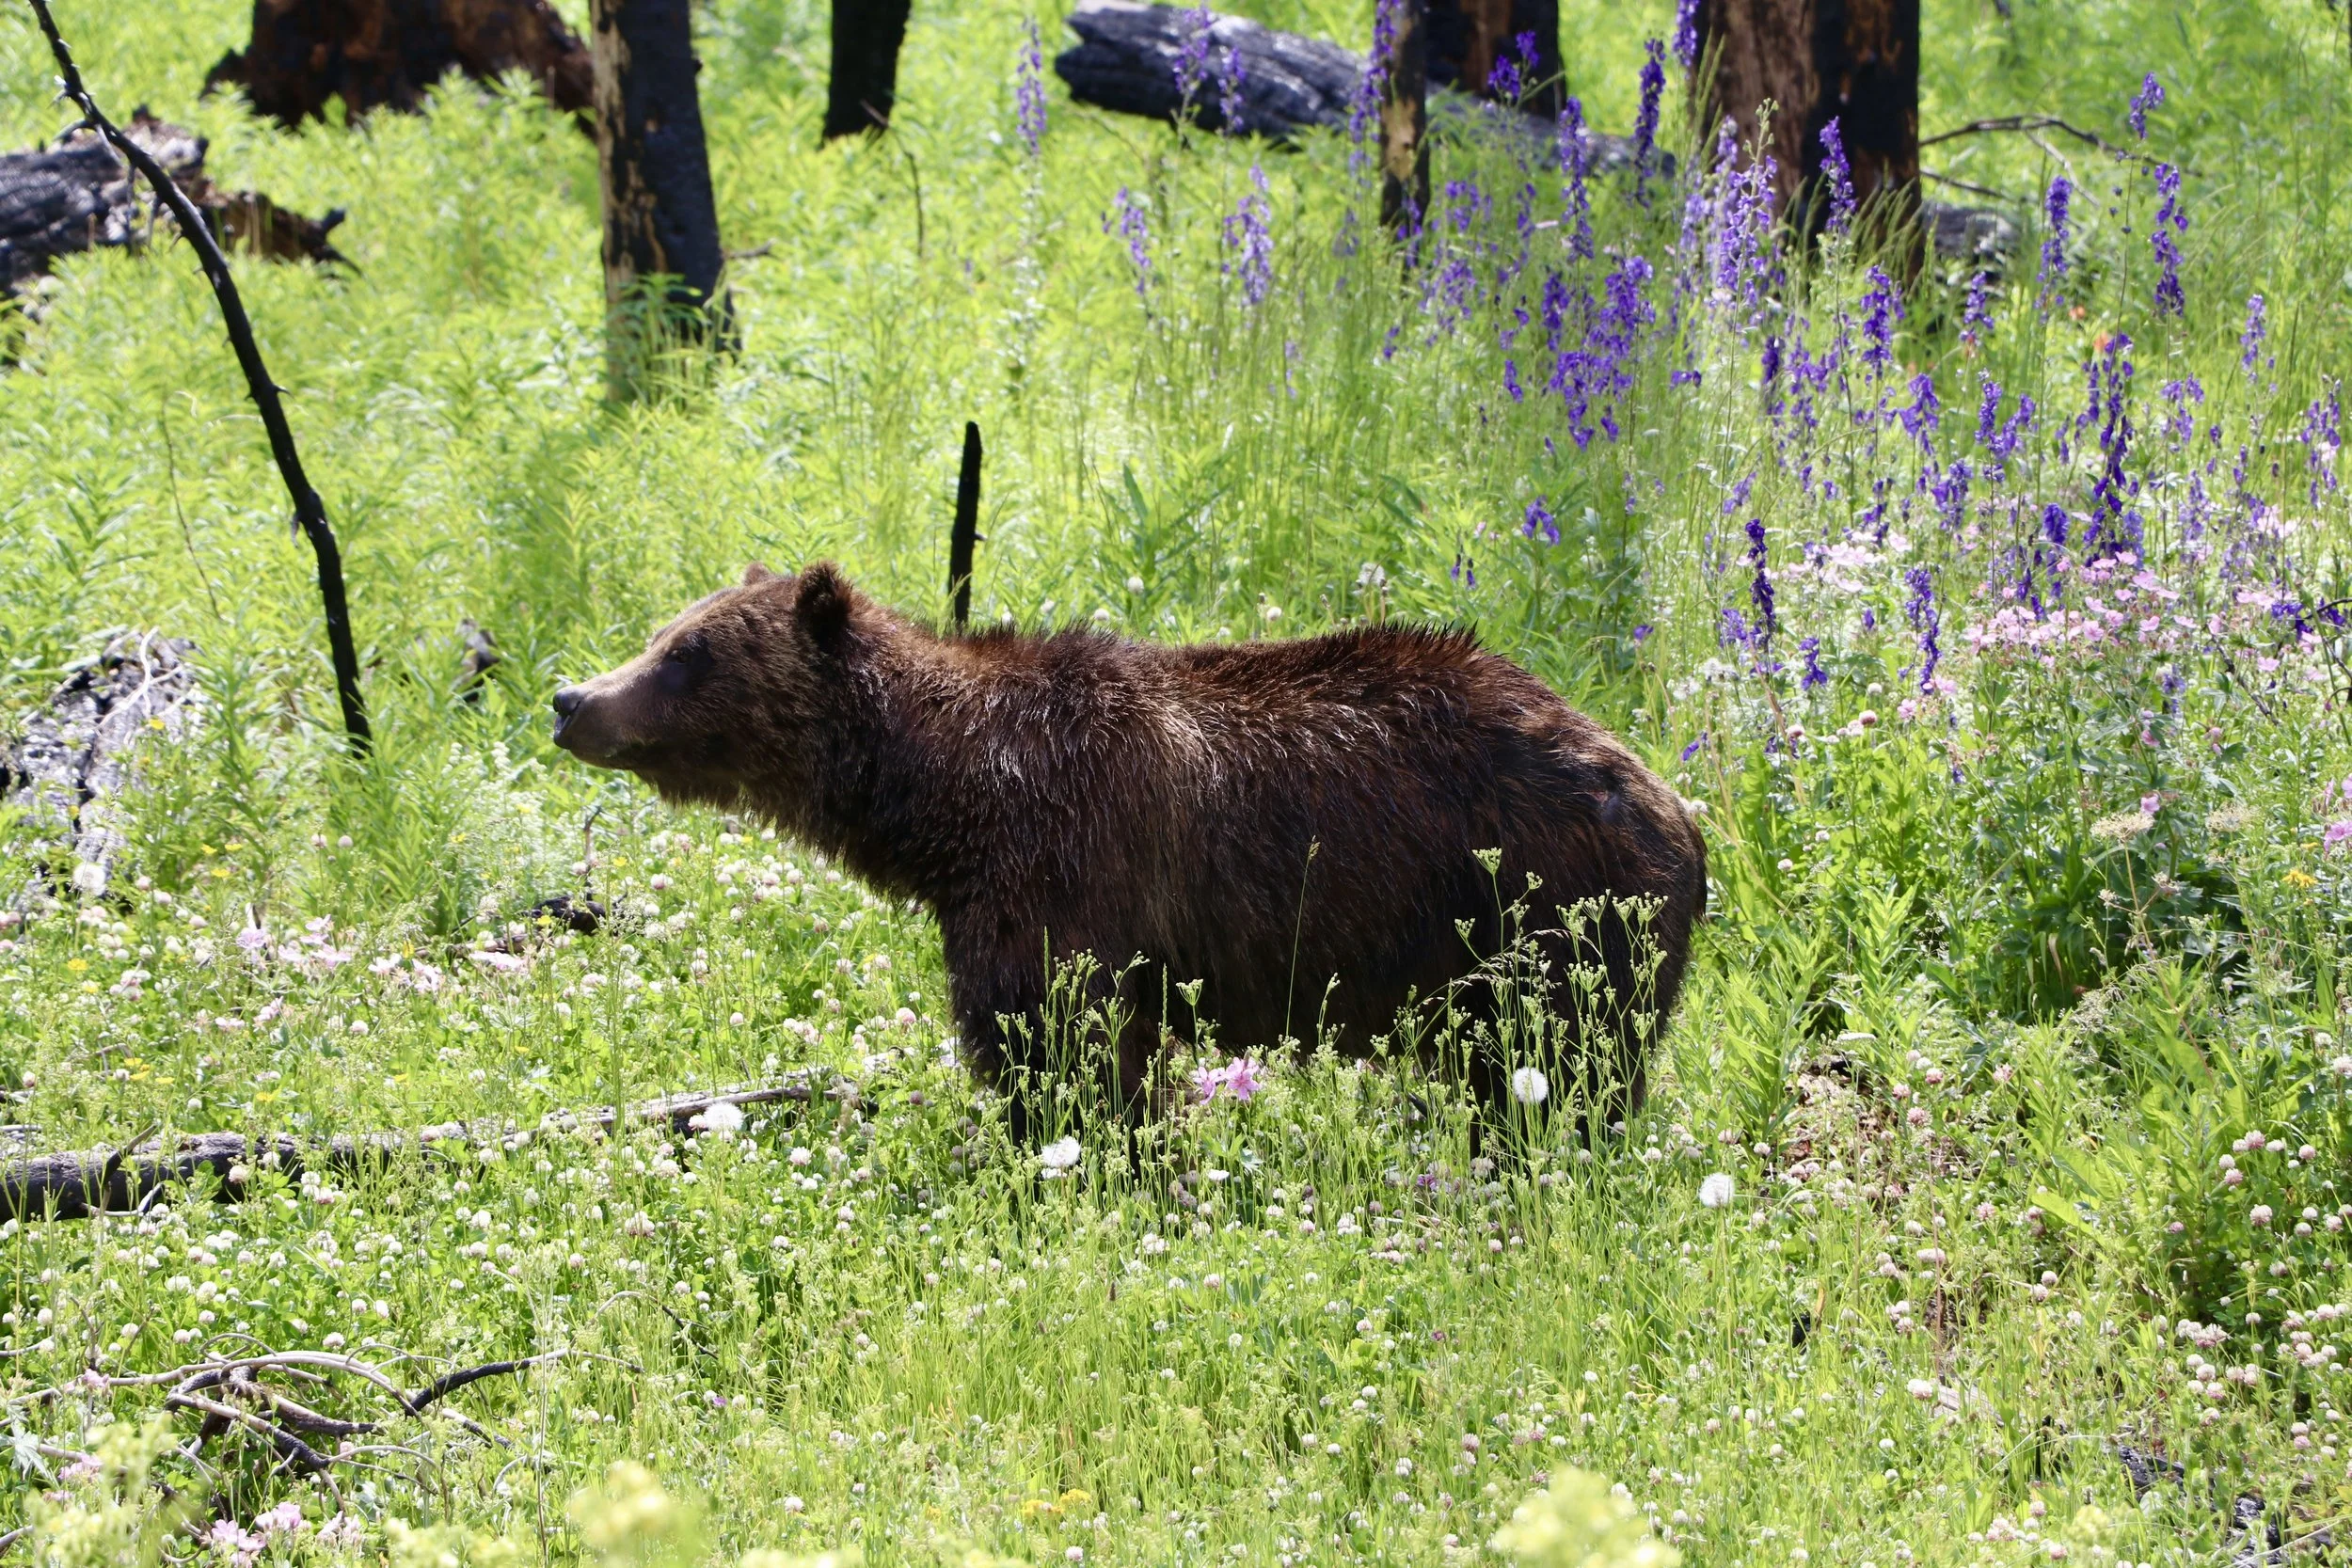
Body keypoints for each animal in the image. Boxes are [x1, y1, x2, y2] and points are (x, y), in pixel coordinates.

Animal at [551, 562, 1707, 1140]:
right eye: (664, 630)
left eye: (688, 651)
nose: (571, 697)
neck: (943, 804)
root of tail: (1677, 810)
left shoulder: (1063, 875)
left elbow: (1058, 1050)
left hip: (1549, 917)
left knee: (1564, 1072)